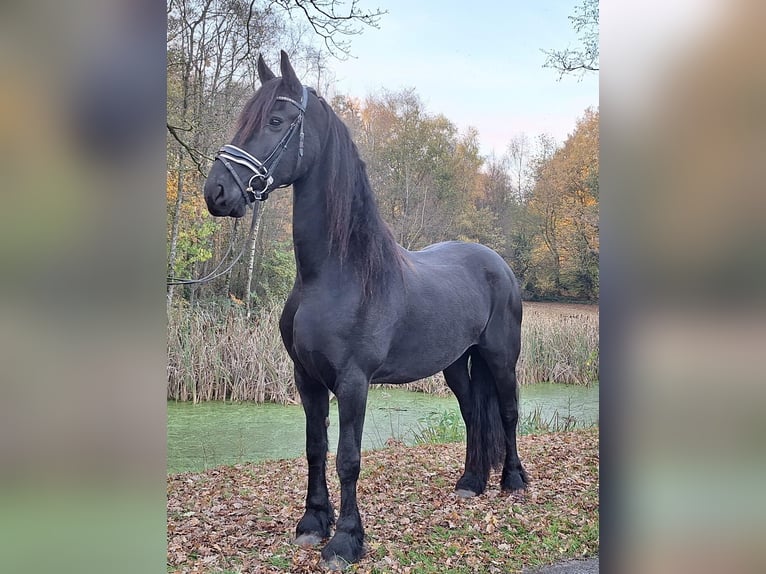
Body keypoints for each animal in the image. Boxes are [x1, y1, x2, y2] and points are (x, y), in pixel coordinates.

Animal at [202, 51, 528, 568]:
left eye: (275, 121)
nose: (216, 192)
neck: (338, 274)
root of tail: (497, 263)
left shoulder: (354, 382)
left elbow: (348, 458)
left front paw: (345, 541)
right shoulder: (307, 378)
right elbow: (316, 448)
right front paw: (313, 524)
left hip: (500, 357)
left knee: (510, 412)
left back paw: (513, 481)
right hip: (456, 364)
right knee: (474, 416)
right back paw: (470, 483)